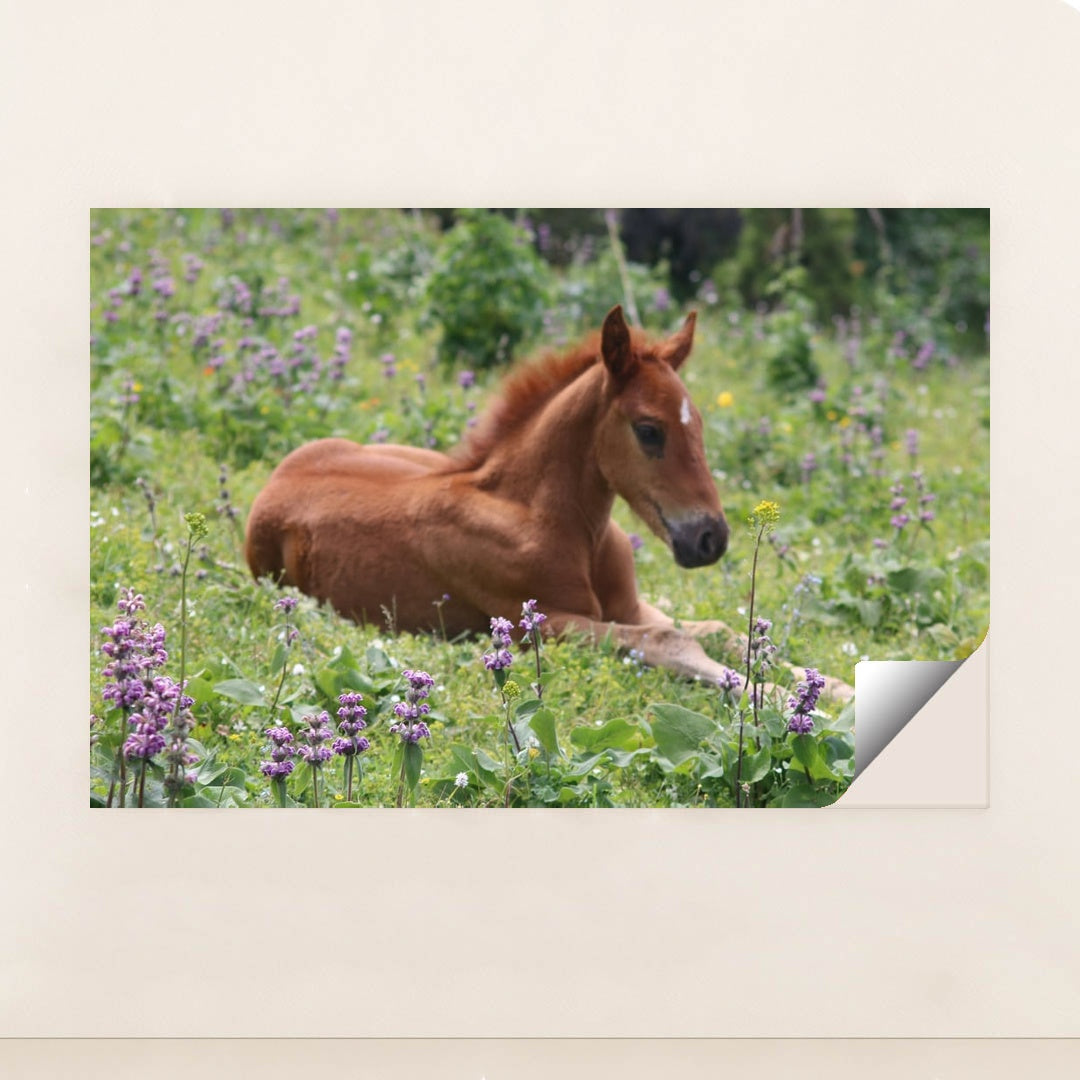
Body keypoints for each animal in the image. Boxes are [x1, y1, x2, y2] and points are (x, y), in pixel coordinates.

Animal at [246, 305, 848, 696]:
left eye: (697, 422)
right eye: (649, 430)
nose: (711, 538)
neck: (556, 520)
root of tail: (281, 472)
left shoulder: (627, 606)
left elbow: (716, 630)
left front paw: (833, 686)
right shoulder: (545, 622)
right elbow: (671, 640)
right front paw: (773, 698)